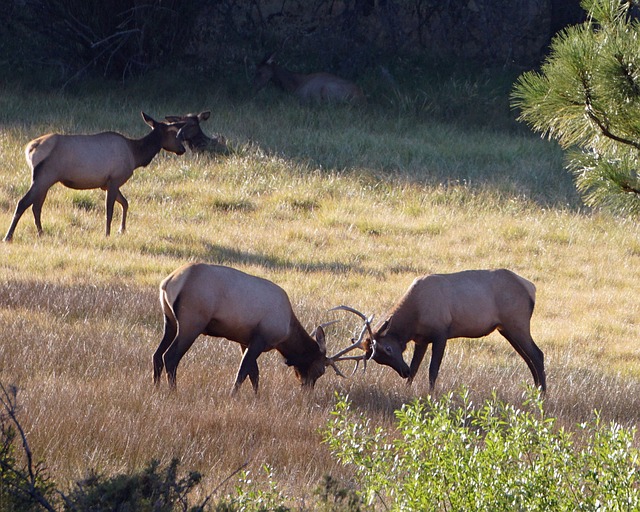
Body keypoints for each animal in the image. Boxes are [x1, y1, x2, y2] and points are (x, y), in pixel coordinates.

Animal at [3, 112, 186, 240]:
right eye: (174, 132)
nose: (183, 149)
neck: (135, 156)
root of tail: (29, 149)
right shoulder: (114, 179)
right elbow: (110, 210)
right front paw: (108, 233)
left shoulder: (106, 183)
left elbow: (125, 203)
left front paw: (122, 230)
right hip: (44, 177)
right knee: (23, 202)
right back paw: (8, 236)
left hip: (44, 180)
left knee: (36, 206)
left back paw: (41, 233)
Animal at [152, 264, 350, 392]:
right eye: (320, 370)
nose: (307, 390)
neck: (287, 332)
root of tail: (167, 282)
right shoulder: (260, 339)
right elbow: (243, 372)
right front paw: (233, 396)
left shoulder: (244, 340)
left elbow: (253, 374)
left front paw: (257, 398)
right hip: (192, 322)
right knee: (170, 356)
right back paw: (173, 392)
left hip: (170, 321)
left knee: (156, 355)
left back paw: (156, 389)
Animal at [332, 270, 548, 394]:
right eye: (378, 359)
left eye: (388, 349)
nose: (402, 371)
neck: (414, 317)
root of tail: (531, 288)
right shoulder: (421, 340)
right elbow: (416, 367)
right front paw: (406, 389)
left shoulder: (441, 333)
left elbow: (432, 370)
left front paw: (431, 394)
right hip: (506, 329)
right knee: (528, 358)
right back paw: (536, 391)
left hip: (517, 323)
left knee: (537, 354)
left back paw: (543, 395)